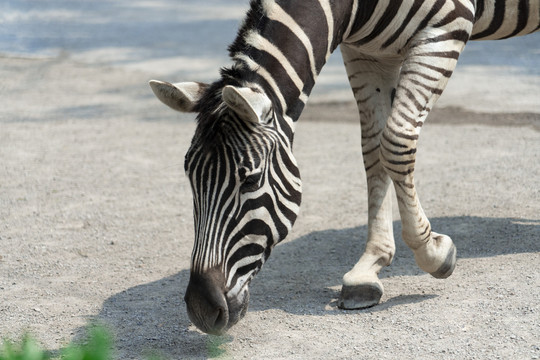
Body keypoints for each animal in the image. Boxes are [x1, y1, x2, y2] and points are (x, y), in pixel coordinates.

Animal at [149, 0, 540, 334]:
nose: (201, 309)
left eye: (250, 180)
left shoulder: (448, 25)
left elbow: (396, 142)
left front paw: (433, 252)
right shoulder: (365, 52)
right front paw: (370, 266)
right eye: (190, 178)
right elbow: (373, 147)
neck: (351, 9)